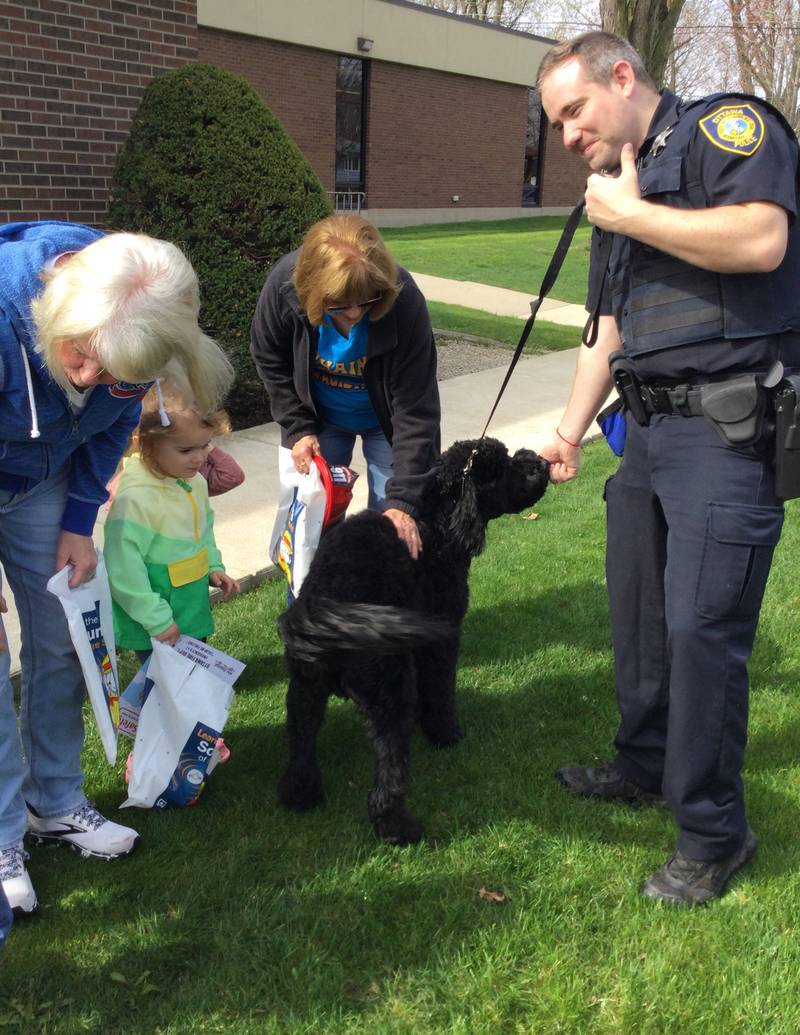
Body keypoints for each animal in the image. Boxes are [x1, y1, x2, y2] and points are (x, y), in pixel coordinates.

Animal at [275, 432, 550, 844]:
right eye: (500, 468)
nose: (541, 462)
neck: (437, 521)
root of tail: (326, 607)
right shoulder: (441, 638)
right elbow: (439, 690)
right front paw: (446, 733)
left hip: (304, 689)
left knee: (300, 746)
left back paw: (301, 795)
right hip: (388, 690)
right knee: (388, 773)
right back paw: (399, 827)